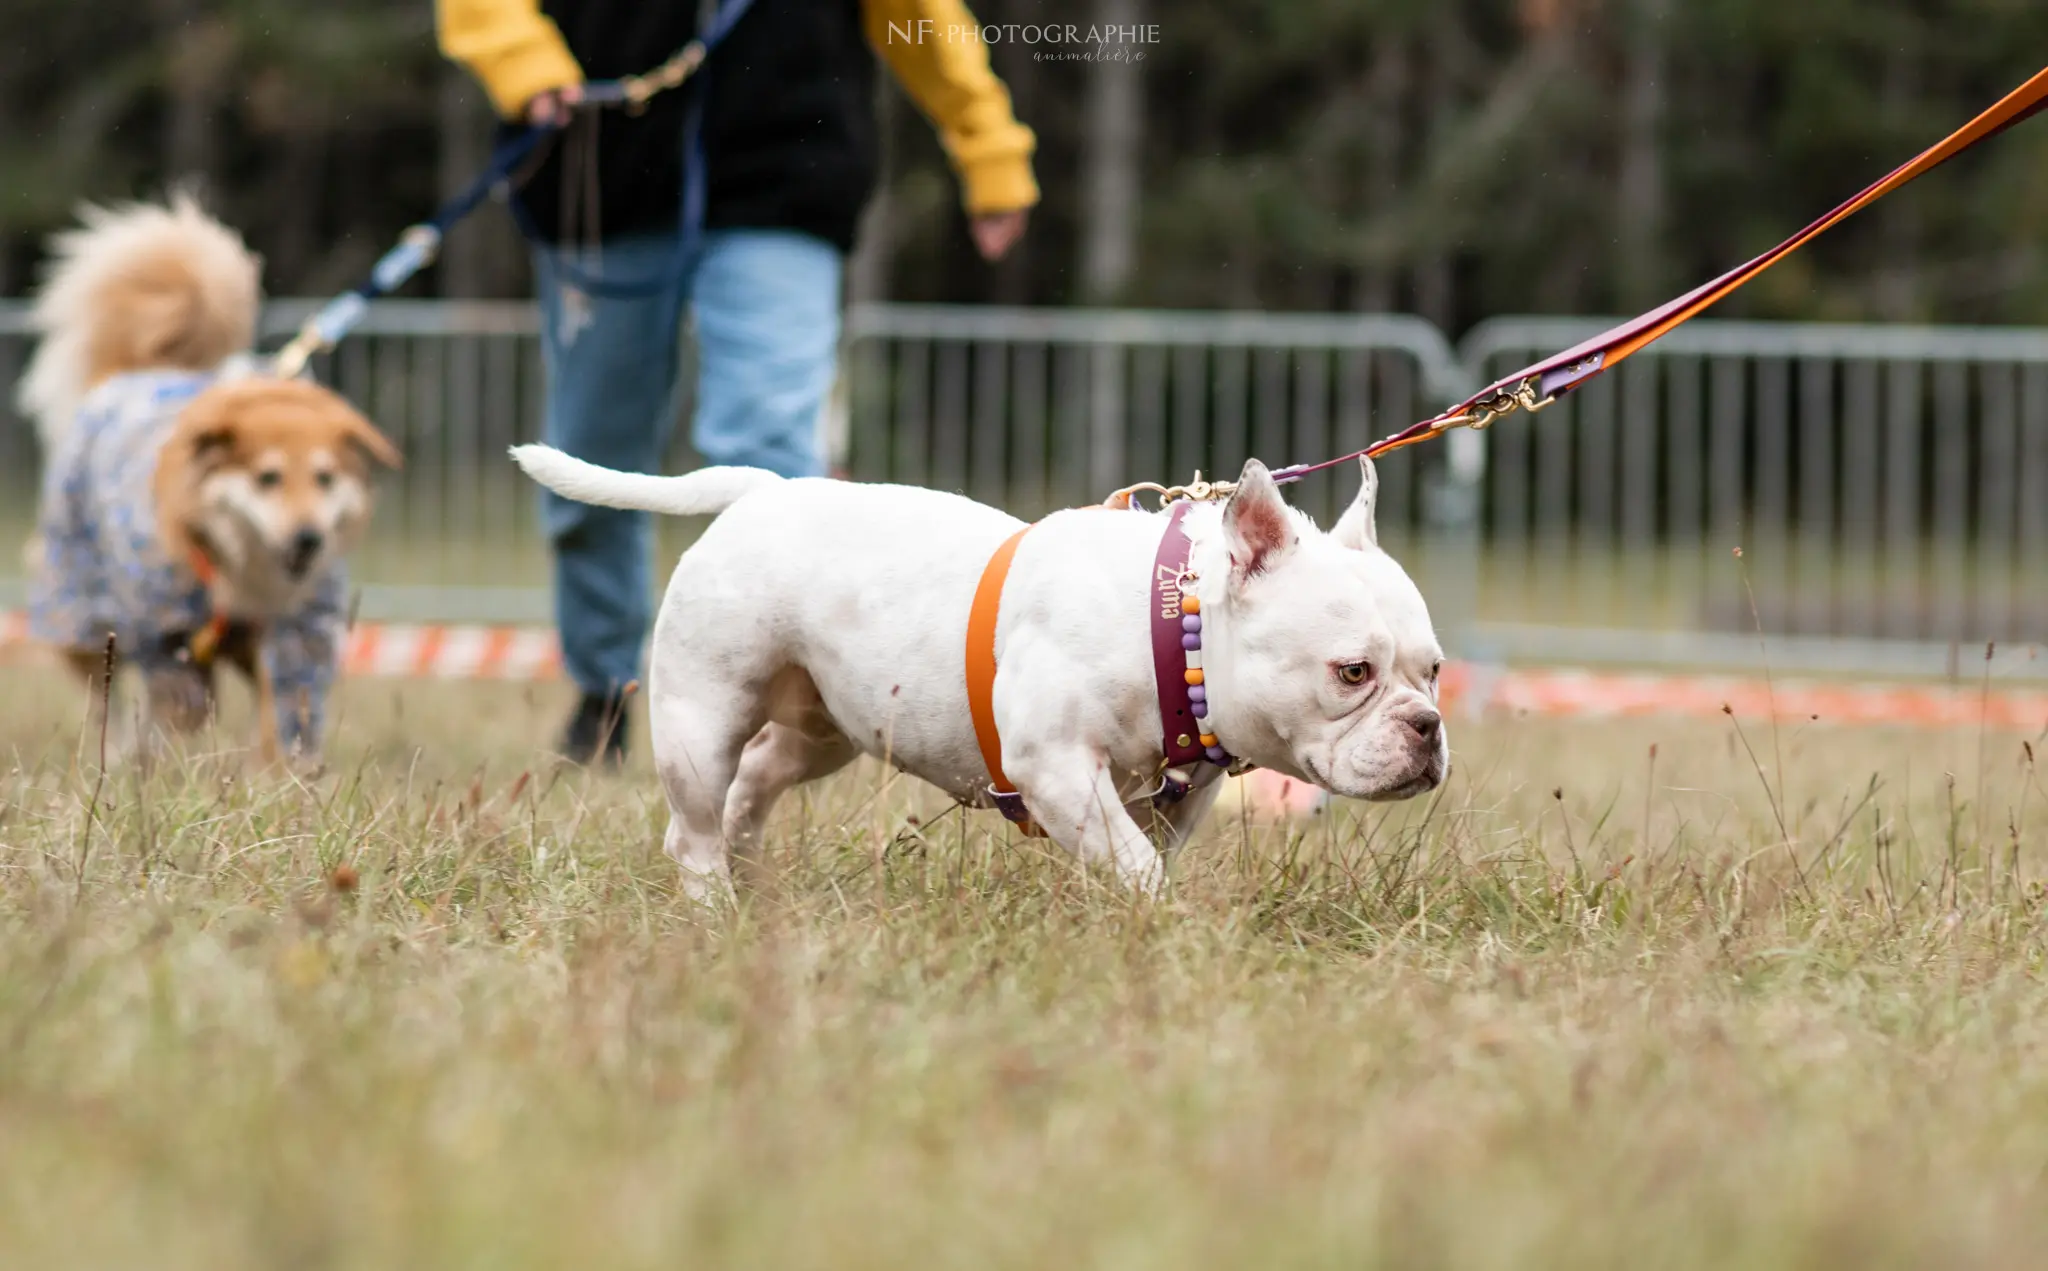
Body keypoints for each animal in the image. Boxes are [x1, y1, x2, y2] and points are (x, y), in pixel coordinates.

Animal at [509, 444, 1441, 892]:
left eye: (1432, 671)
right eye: (1353, 672)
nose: (1429, 729)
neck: (1175, 628)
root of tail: (760, 492)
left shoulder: (1179, 798)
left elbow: (1138, 852)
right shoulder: (1056, 768)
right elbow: (1132, 860)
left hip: (823, 729)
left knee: (755, 783)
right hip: (700, 719)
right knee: (697, 822)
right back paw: (714, 908)